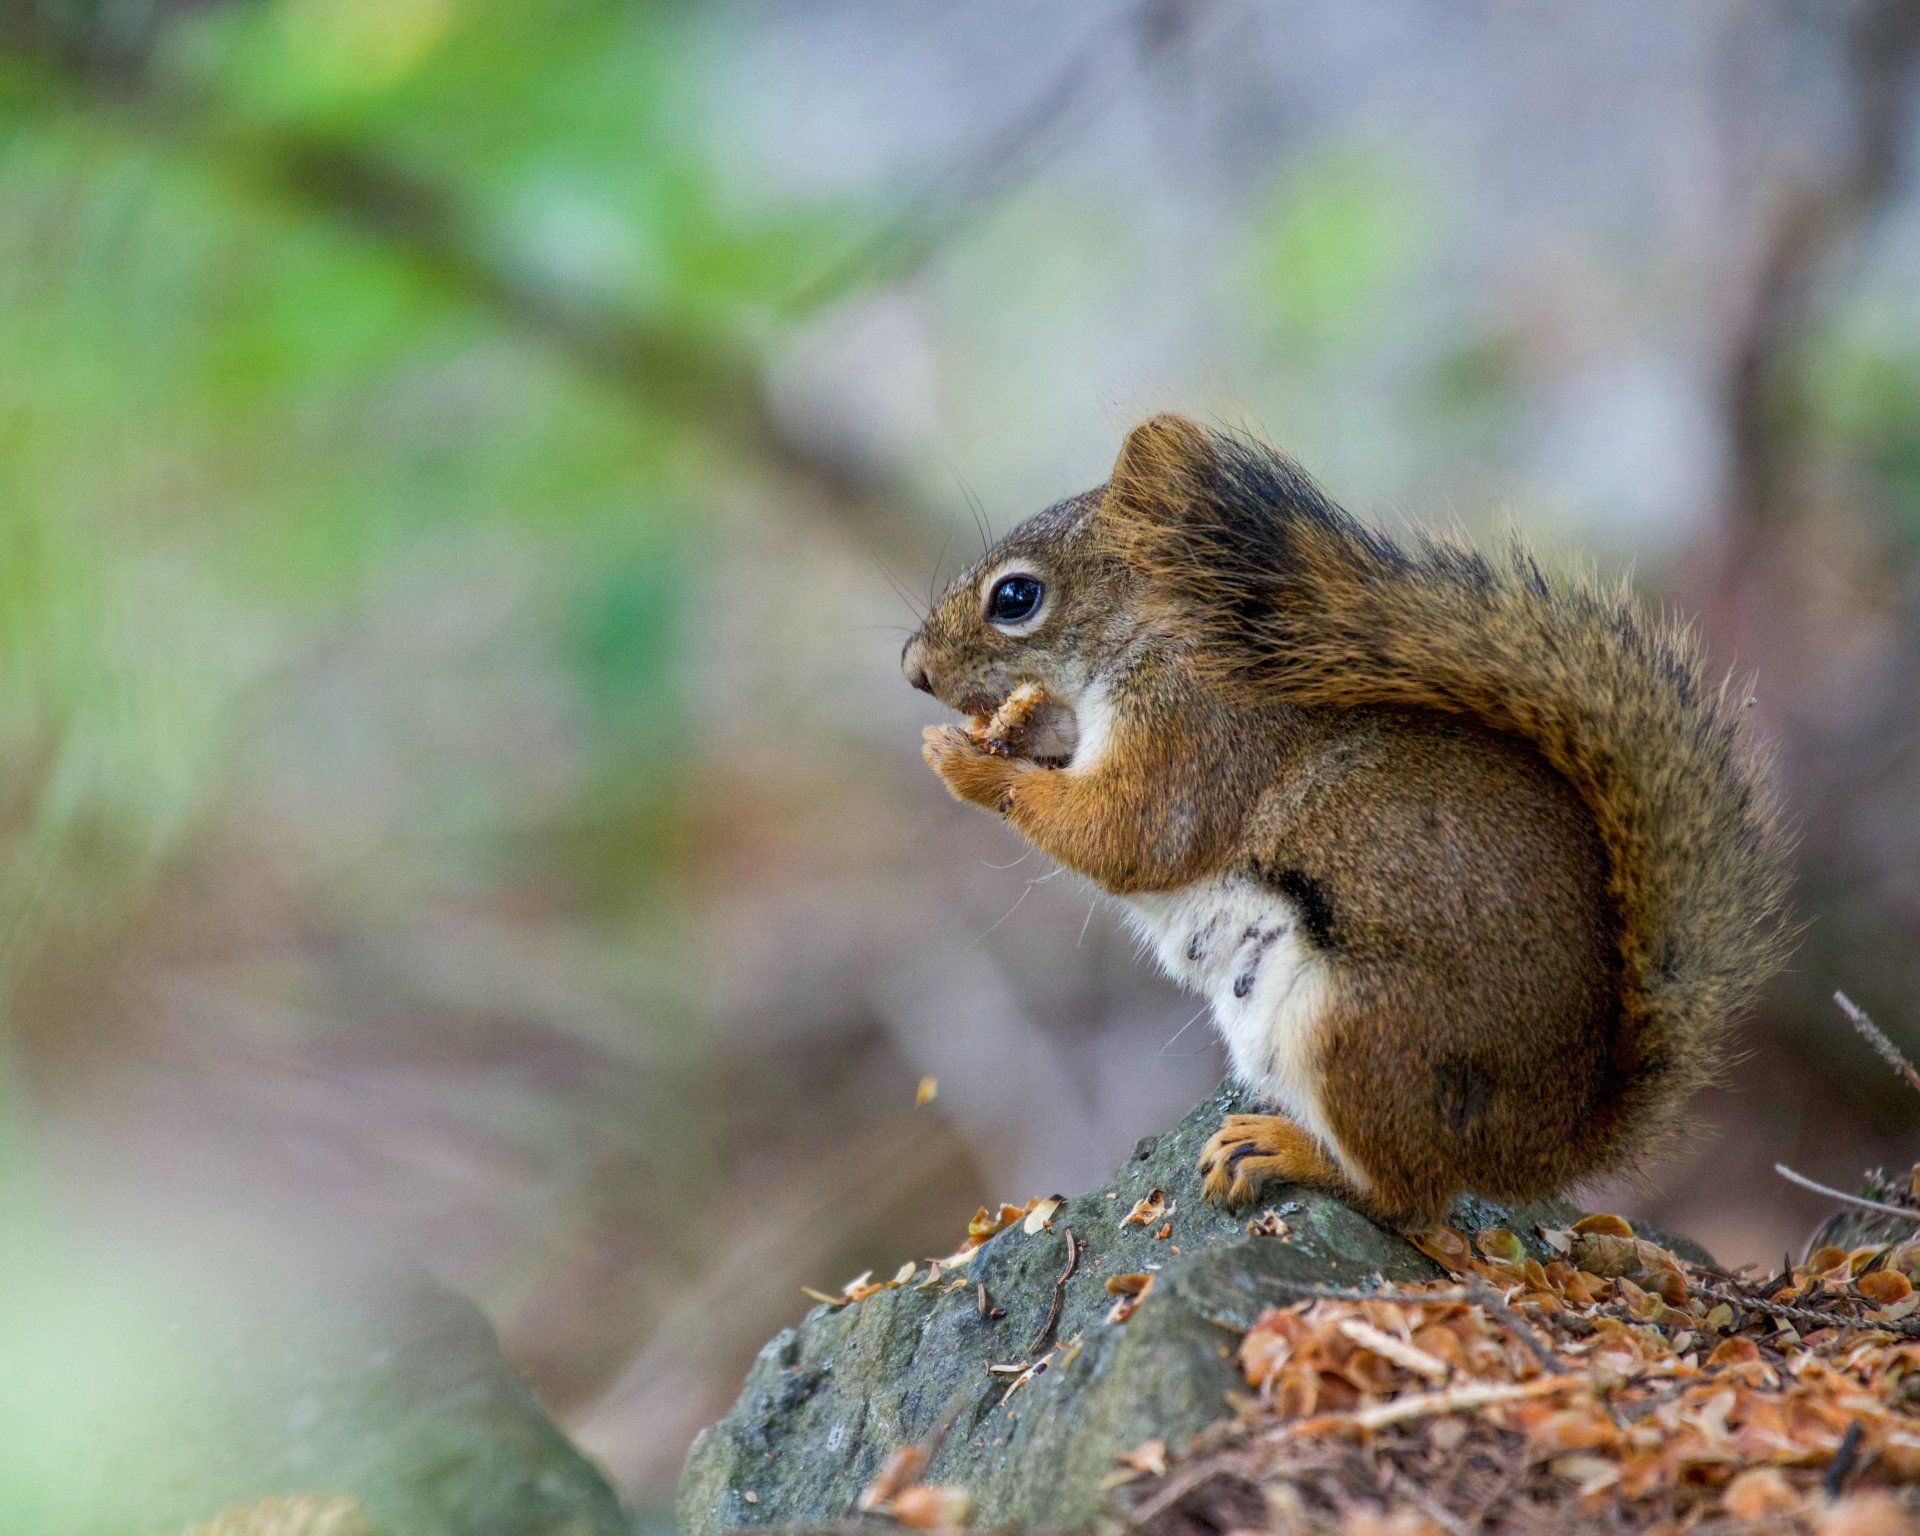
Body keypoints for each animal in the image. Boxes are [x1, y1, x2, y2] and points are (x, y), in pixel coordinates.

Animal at [903, 414, 1790, 1230]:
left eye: (1015, 598)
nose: (912, 671)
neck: (1152, 644)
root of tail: (1542, 1145)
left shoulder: (1194, 735)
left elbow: (1132, 835)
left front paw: (967, 764)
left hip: (1362, 1028)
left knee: (1410, 1198)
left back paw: (1282, 1152)